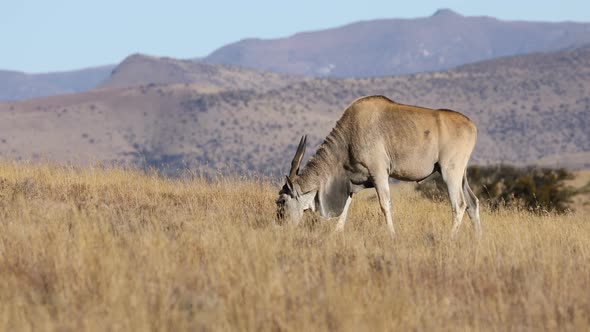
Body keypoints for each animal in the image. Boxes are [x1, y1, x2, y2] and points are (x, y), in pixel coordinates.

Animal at [276, 96, 484, 239]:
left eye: (282, 202)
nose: (278, 227)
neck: (349, 136)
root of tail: (472, 125)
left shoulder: (379, 173)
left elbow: (385, 205)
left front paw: (392, 236)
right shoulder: (353, 181)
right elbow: (346, 207)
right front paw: (336, 233)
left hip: (450, 172)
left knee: (459, 205)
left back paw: (450, 238)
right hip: (460, 176)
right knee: (472, 203)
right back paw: (478, 241)